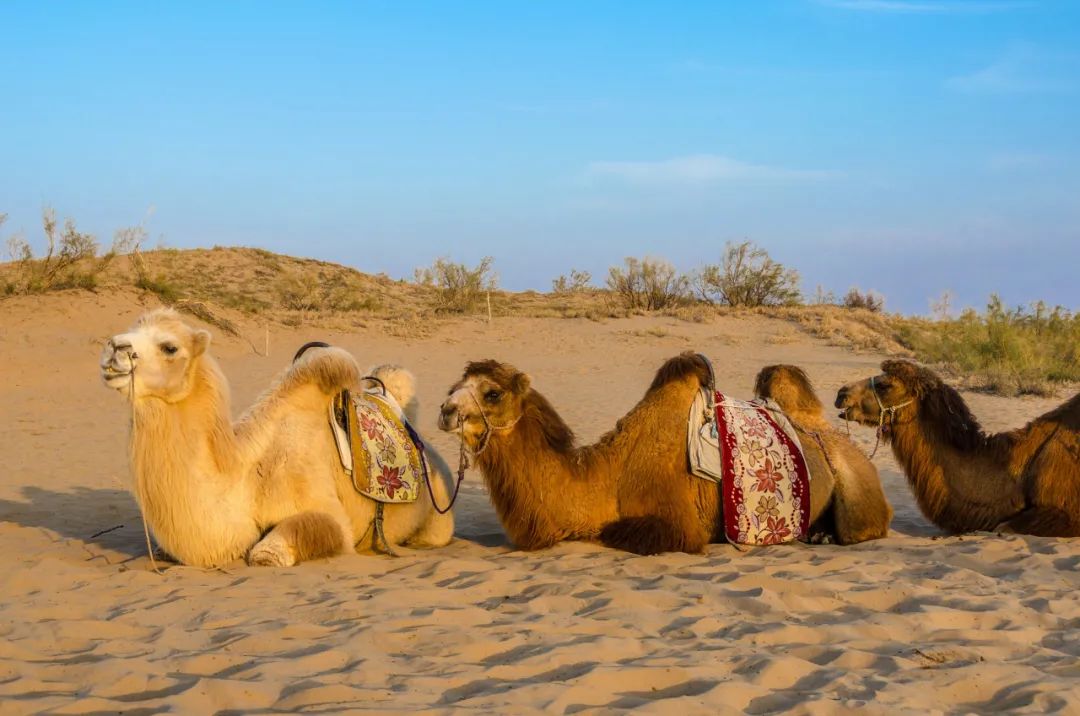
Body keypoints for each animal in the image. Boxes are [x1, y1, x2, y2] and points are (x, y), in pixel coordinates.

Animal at [99, 311, 453, 570]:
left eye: (169, 347)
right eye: (130, 329)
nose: (114, 347)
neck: (246, 478)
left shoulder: (327, 512)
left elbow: (267, 553)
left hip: (438, 518)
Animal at [438, 352, 894, 552]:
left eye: (492, 393)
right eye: (453, 388)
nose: (446, 411)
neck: (607, 477)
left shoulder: (678, 524)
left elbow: (618, 534)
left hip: (857, 487)